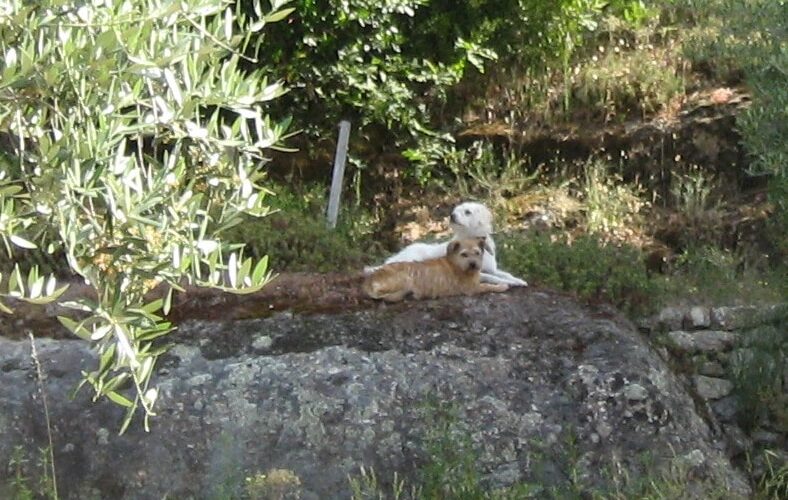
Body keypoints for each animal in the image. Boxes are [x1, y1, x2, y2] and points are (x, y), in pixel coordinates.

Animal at [362, 237, 509, 302]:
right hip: (406, 277)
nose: (473, 264)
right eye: (464, 254)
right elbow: (488, 286)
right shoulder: (471, 288)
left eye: (477, 253)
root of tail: (370, 281)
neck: (456, 264)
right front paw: (502, 286)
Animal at [364, 202, 527, 287]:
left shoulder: (492, 269)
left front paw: (518, 280)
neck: (471, 239)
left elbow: (506, 273)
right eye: (455, 211)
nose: (452, 215)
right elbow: (495, 278)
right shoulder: (476, 273)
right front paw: (509, 283)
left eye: (467, 212)